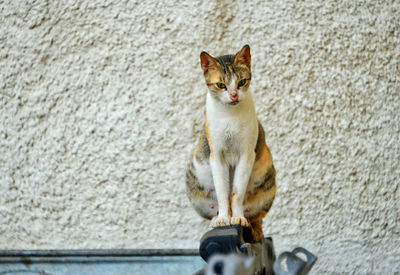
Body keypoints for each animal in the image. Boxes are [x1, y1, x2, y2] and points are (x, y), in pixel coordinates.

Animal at [187, 44, 276, 243]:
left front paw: (237, 218)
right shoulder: (216, 155)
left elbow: (236, 193)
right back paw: (216, 219)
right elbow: (222, 192)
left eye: (241, 82)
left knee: (256, 218)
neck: (230, 116)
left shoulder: (246, 154)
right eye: (221, 85)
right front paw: (223, 219)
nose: (234, 95)